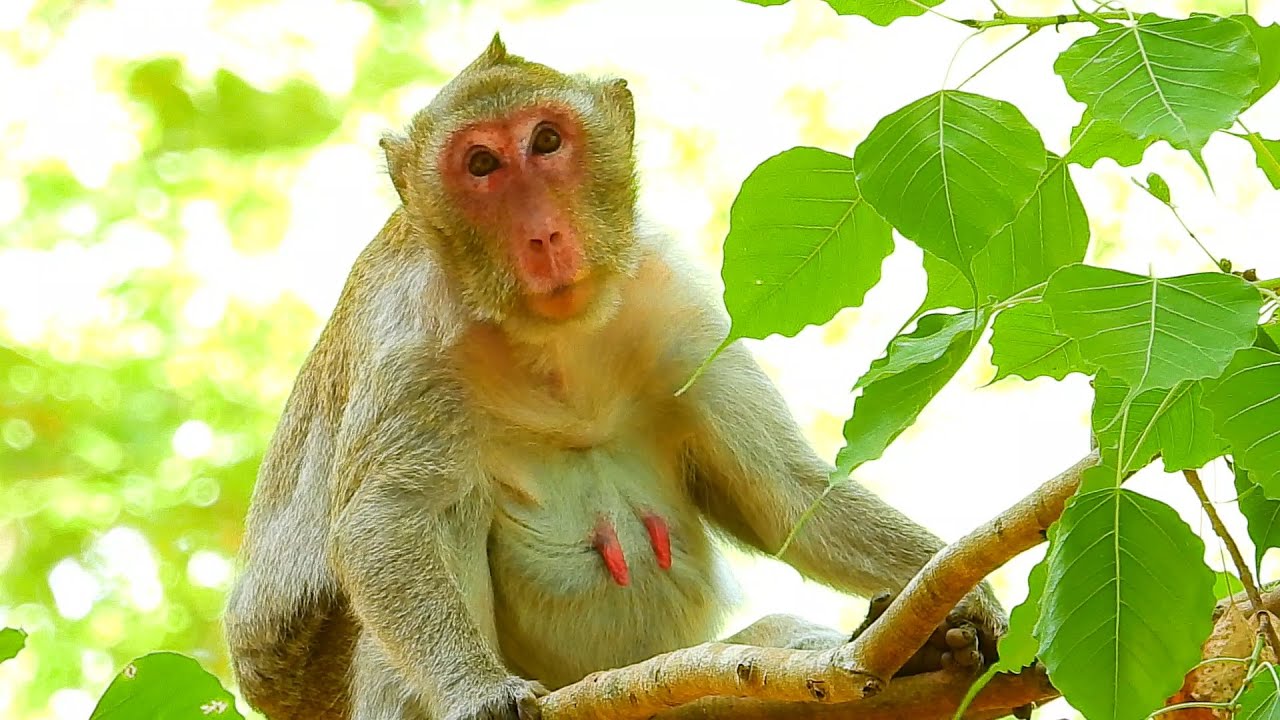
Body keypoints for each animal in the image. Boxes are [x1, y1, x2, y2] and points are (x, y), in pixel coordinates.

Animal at [223, 35, 1006, 720]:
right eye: (480, 163)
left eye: (546, 142)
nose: (543, 234)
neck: (554, 342)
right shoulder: (409, 337)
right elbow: (386, 520)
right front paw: (475, 689)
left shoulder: (677, 308)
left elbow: (789, 495)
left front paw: (970, 602)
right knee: (450, 511)